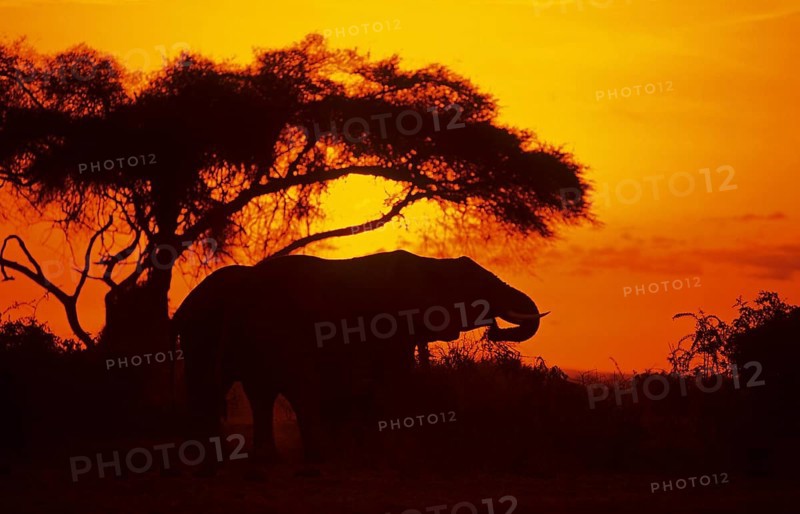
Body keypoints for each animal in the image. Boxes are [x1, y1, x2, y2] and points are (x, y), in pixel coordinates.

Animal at [172, 250, 547, 463]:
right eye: (478, 290)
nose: (494, 331)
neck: (429, 266)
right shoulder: (392, 321)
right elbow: (395, 376)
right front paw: (393, 451)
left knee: (227, 390)